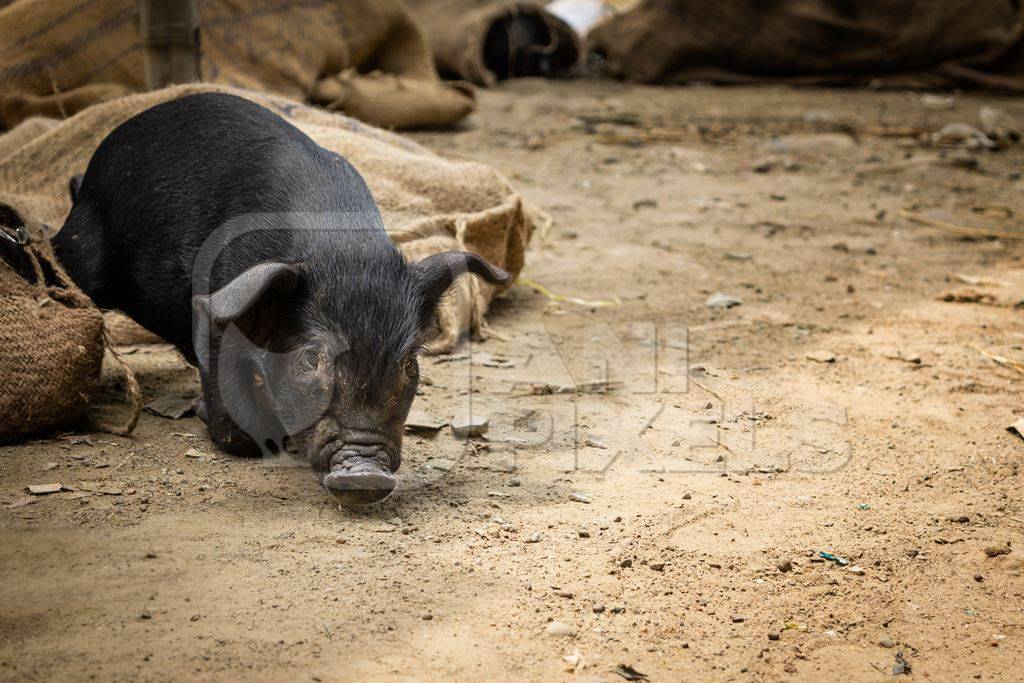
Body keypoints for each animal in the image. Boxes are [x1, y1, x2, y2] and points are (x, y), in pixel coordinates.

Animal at [51, 93, 507, 505]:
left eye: (410, 365)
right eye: (310, 358)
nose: (366, 473)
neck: (344, 250)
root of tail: (87, 174)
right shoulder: (215, 304)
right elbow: (233, 417)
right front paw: (215, 415)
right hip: (85, 249)